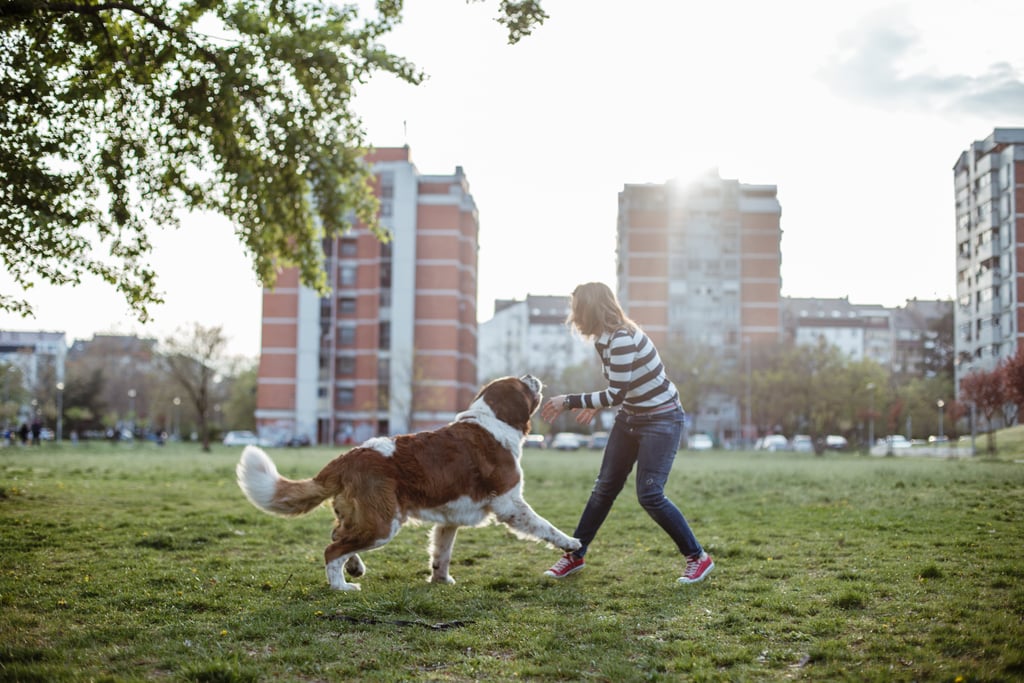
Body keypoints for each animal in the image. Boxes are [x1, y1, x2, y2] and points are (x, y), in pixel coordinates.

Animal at [234, 376, 581, 589]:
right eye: (522, 384)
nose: (532, 376)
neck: (492, 421)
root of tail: (349, 456)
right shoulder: (510, 503)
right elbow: (545, 526)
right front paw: (571, 543)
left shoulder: (450, 517)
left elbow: (442, 551)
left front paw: (441, 580)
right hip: (382, 524)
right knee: (332, 549)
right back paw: (342, 586)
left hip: (365, 519)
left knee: (337, 535)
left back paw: (354, 568)